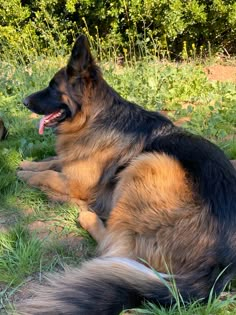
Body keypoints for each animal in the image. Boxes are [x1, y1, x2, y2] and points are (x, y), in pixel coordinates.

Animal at [16, 35, 236, 314]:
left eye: (53, 87)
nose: (23, 102)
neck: (94, 118)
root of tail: (217, 270)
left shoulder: (77, 182)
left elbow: (49, 174)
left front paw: (27, 176)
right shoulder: (72, 161)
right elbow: (50, 162)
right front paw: (26, 164)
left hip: (149, 162)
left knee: (112, 246)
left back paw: (82, 212)